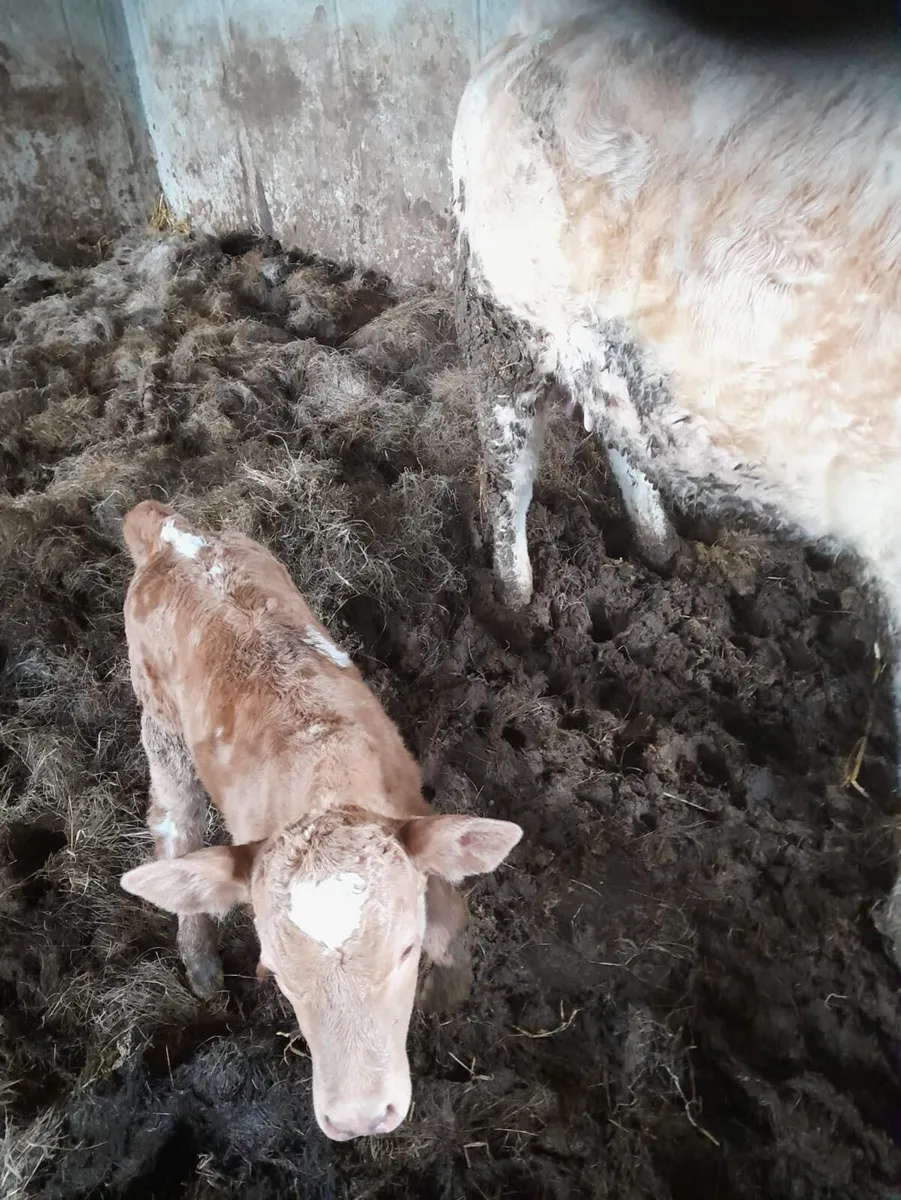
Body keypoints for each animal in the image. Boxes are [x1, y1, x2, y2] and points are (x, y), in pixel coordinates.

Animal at [117, 500, 522, 1141]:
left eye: (405, 952)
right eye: (277, 974)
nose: (360, 1118)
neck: (326, 784)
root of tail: (168, 530)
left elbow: (450, 924)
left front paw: (446, 1001)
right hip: (159, 718)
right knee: (174, 820)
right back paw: (201, 965)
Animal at [451, 2, 901, 953]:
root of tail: (528, 31)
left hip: (616, 344)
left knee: (620, 432)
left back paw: (659, 553)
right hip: (504, 314)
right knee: (504, 476)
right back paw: (516, 611)